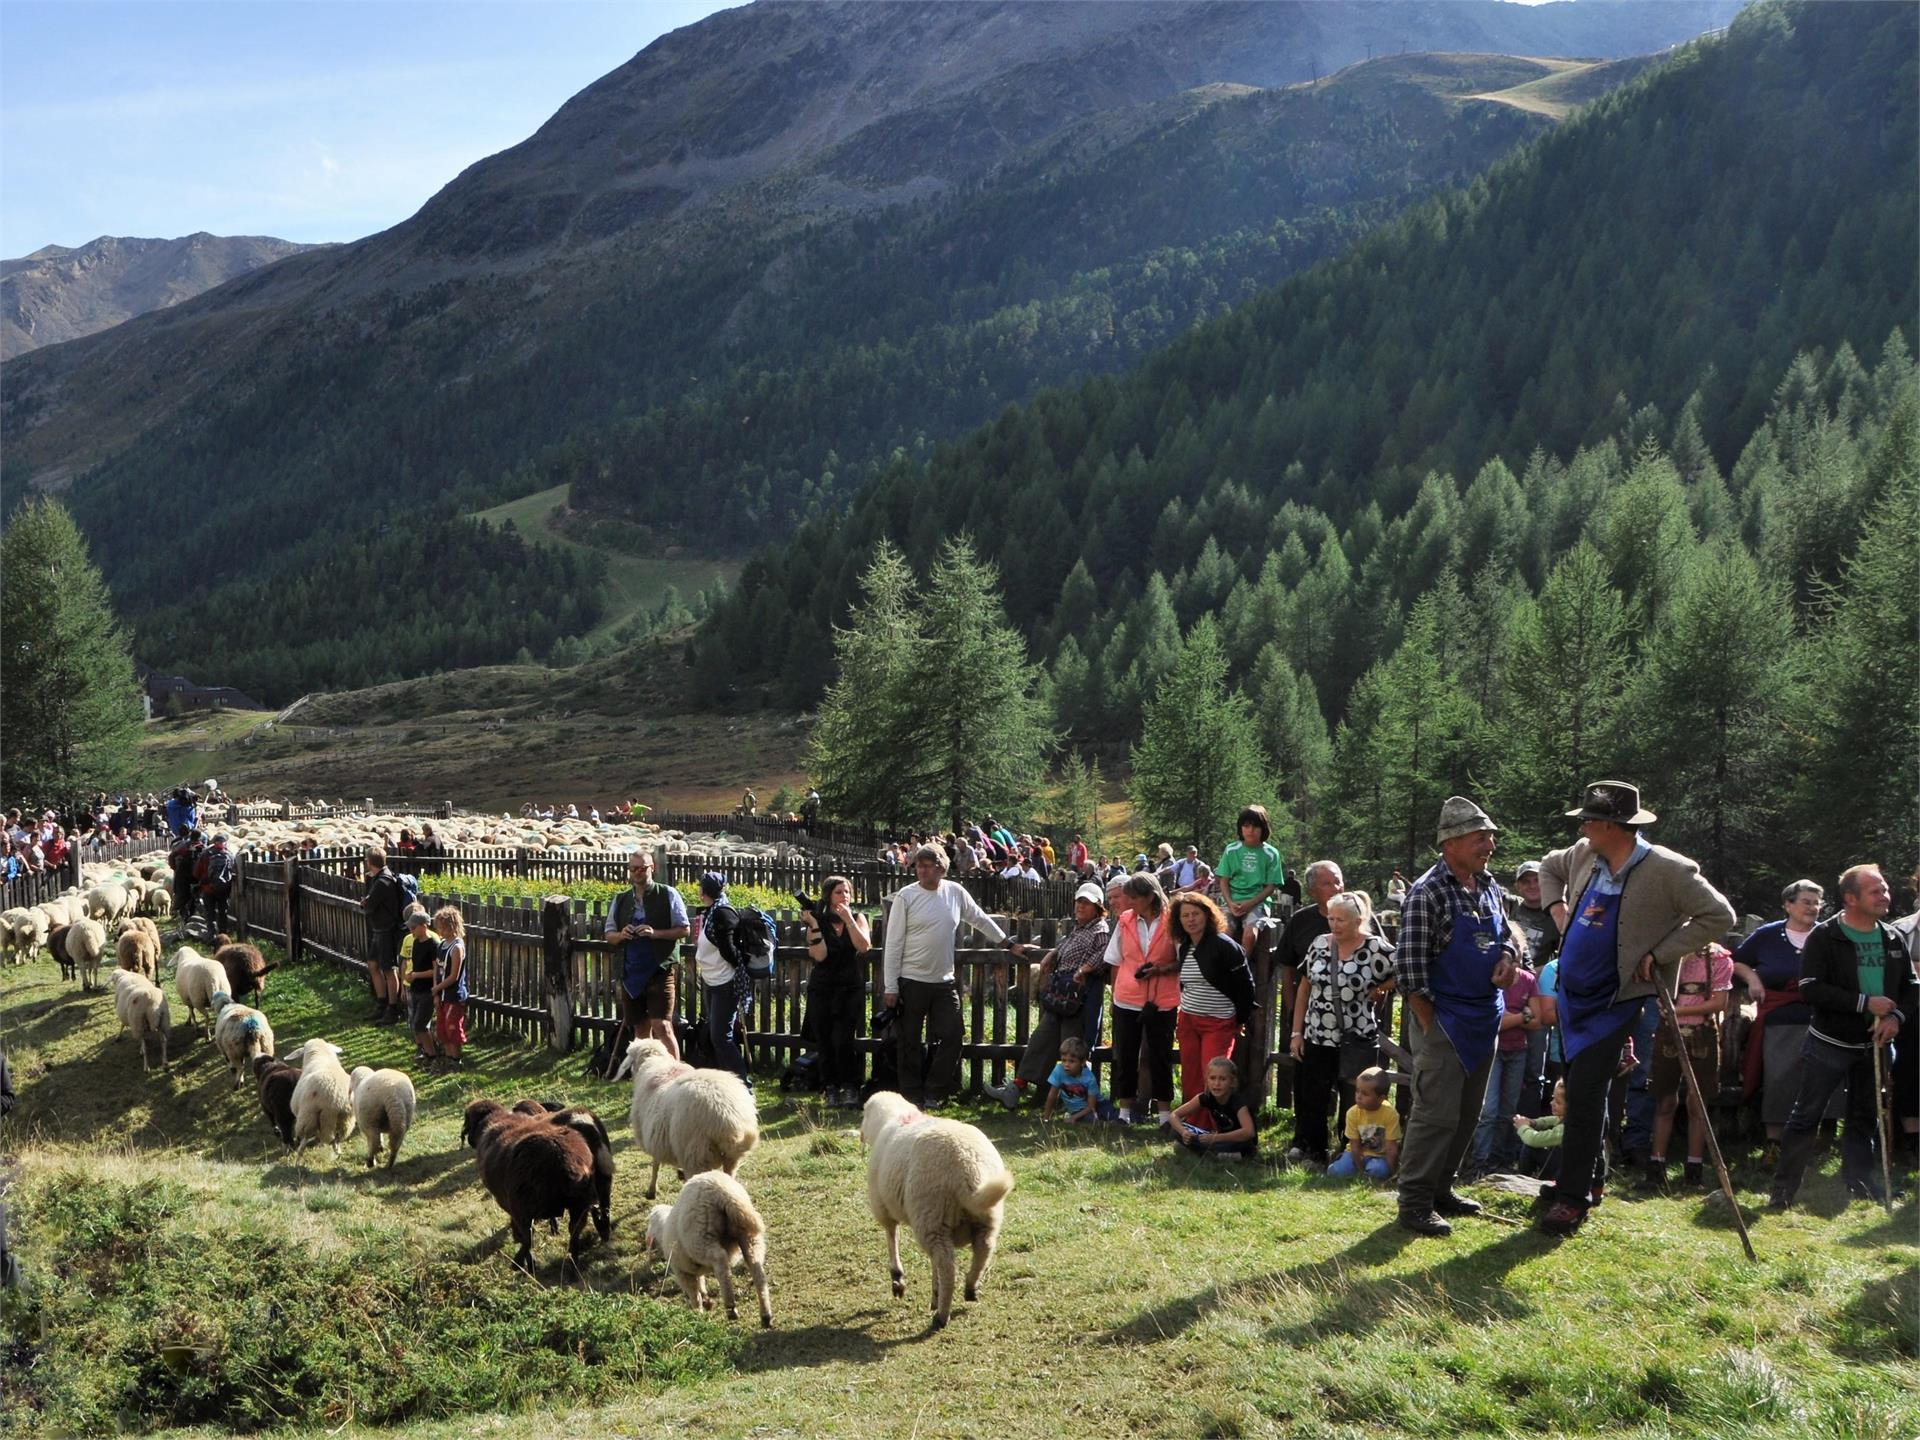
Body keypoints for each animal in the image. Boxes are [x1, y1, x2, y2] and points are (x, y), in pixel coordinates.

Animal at [458, 1105, 595, 1274]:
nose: (469, 1140)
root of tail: (562, 1159)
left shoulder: (509, 1204)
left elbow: (523, 1235)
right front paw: (554, 1228)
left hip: (523, 1207)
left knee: (528, 1238)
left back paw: (523, 1265)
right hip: (579, 1205)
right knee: (574, 1233)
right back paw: (572, 1266)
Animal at [618, 1044, 760, 1198]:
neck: (655, 1061)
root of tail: (727, 1115)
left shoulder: (653, 1137)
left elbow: (655, 1164)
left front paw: (652, 1190)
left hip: (695, 1154)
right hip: (729, 1158)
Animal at [641, 1175, 768, 1328]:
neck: (663, 1227)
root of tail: (723, 1193)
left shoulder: (681, 1271)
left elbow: (693, 1292)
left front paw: (698, 1313)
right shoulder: (694, 1268)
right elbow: (700, 1283)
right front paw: (706, 1301)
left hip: (700, 1237)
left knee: (720, 1260)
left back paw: (731, 1307)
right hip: (747, 1234)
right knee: (756, 1267)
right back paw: (766, 1315)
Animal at [864, 1090, 1021, 1328]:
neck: (897, 1117)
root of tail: (968, 1168)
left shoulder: (883, 1207)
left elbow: (892, 1237)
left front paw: (898, 1279)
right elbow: (931, 1261)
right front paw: (932, 1293)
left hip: (932, 1218)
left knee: (947, 1267)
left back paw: (941, 1315)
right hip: (984, 1218)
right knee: (983, 1249)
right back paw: (970, 1287)